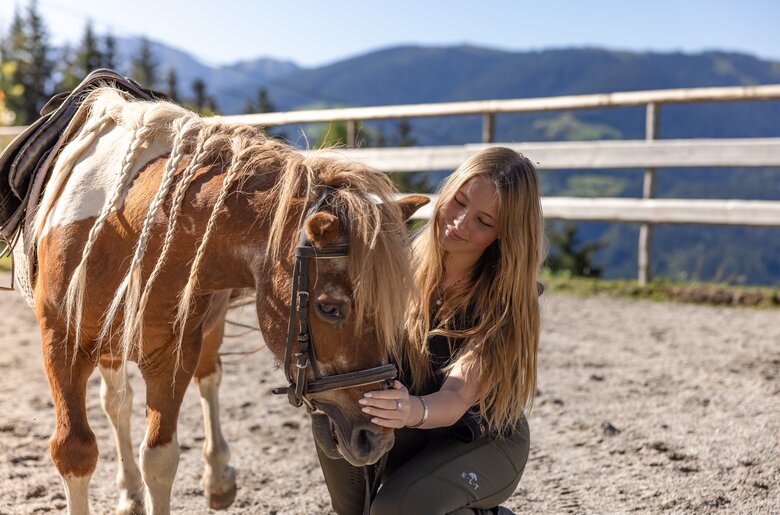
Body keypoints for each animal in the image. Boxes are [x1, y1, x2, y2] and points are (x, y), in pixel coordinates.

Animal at [18, 85, 430, 515]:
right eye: (329, 308)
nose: (377, 438)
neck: (127, 234)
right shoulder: (61, 347)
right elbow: (75, 451)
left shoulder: (173, 353)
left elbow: (160, 457)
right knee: (117, 402)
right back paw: (129, 492)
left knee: (206, 379)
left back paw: (215, 477)